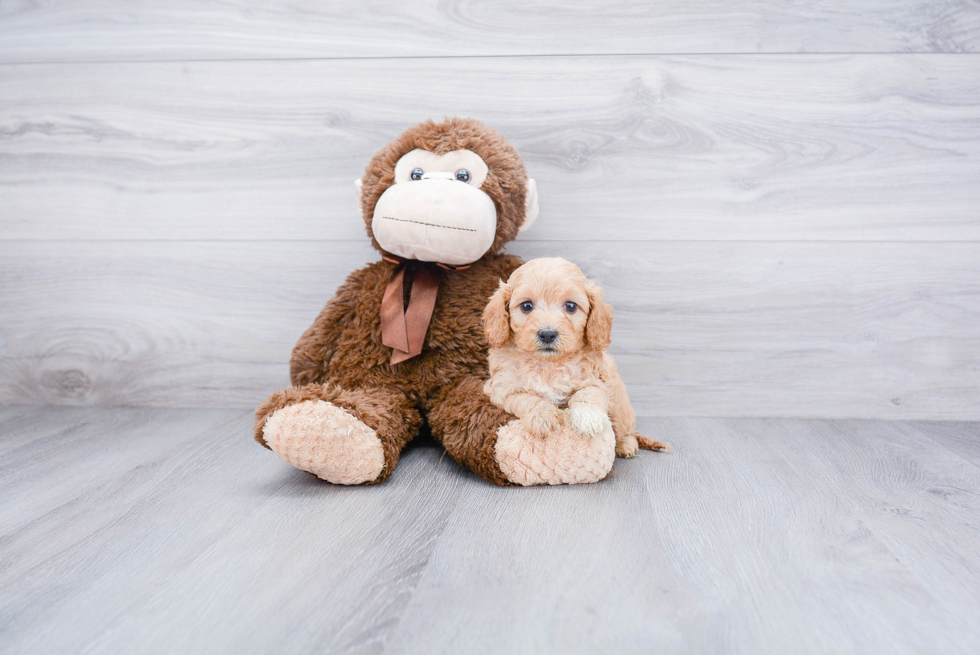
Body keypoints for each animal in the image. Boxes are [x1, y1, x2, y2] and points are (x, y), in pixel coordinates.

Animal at [480, 258, 668, 458]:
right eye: (526, 306)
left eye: (570, 306)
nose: (547, 334)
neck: (548, 365)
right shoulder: (501, 390)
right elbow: (524, 398)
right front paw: (542, 416)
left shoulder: (599, 379)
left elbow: (587, 393)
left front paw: (588, 418)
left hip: (620, 405)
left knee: (626, 429)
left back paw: (626, 444)